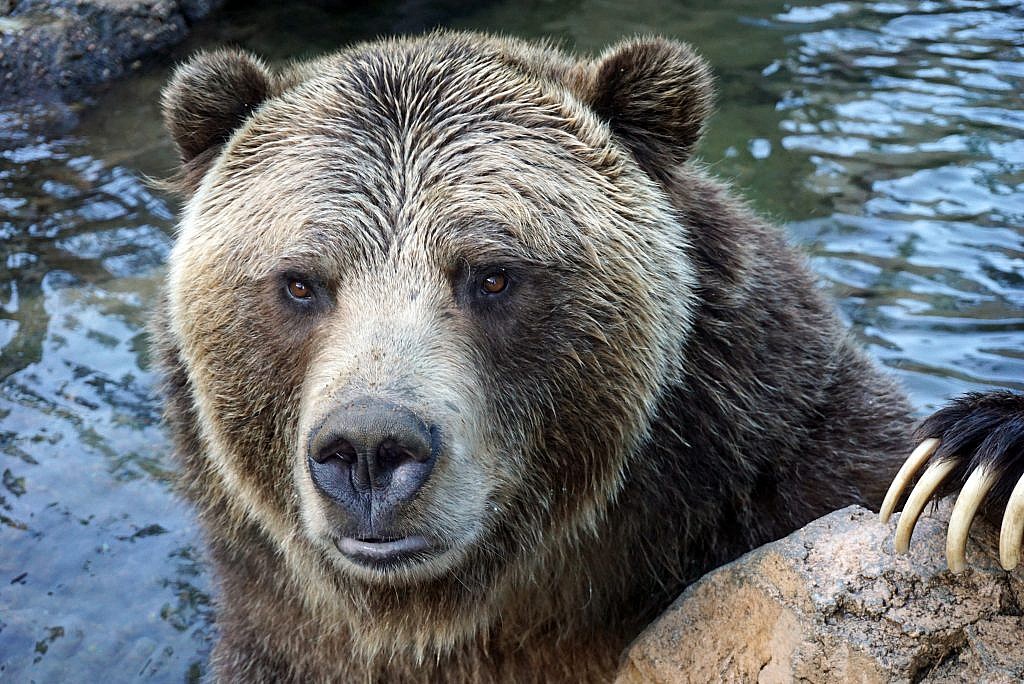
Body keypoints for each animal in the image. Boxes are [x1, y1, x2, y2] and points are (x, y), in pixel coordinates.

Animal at [152, 32, 1024, 682]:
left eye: (493, 273)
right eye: (300, 282)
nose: (369, 448)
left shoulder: (779, 455)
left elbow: (889, 473)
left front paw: (979, 457)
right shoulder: (281, 645)